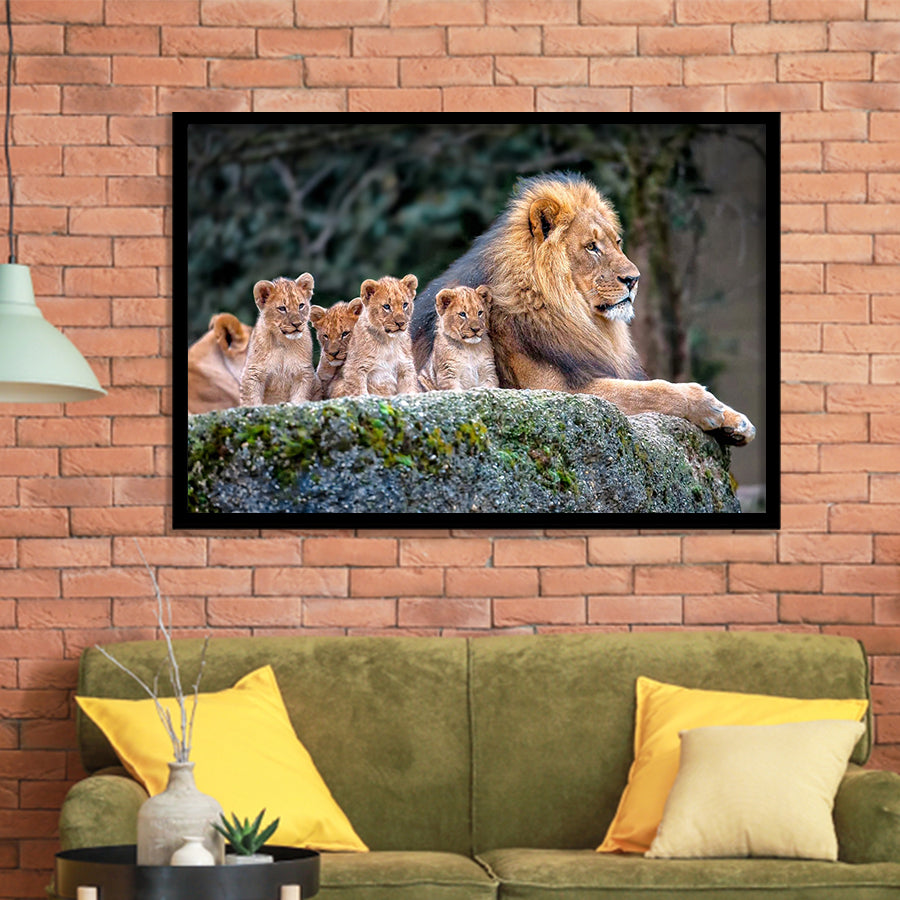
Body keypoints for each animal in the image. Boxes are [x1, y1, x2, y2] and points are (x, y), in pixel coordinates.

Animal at [240, 274, 319, 407]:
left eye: (301, 305)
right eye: (282, 308)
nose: (297, 324)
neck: (283, 343)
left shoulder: (303, 372)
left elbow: (300, 396)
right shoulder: (253, 372)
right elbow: (251, 400)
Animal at [410, 172, 755, 445]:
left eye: (617, 242)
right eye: (592, 247)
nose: (634, 279)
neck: (575, 315)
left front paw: (736, 420)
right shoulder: (552, 391)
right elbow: (648, 390)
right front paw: (705, 403)